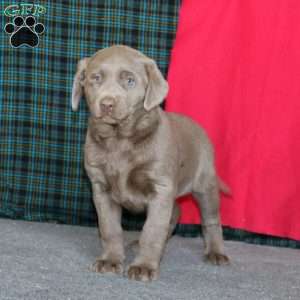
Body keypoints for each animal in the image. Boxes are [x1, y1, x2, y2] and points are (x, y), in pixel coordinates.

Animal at [72, 44, 230, 282]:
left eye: (130, 81)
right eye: (95, 78)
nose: (107, 104)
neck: (119, 139)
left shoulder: (160, 187)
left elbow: (153, 229)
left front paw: (144, 266)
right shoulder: (101, 188)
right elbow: (110, 228)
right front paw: (110, 261)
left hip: (205, 184)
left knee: (211, 220)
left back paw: (216, 253)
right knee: (175, 211)